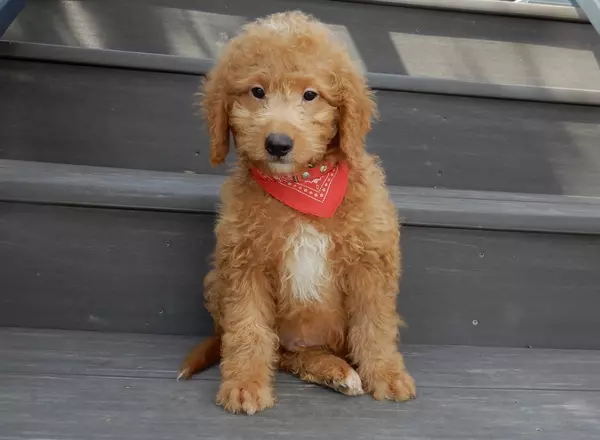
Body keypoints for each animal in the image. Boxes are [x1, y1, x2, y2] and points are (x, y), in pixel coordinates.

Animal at [178, 11, 412, 416]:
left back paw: (337, 370)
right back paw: (331, 370)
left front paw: (386, 374)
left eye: (310, 95)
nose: (277, 144)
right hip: (217, 282)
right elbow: (248, 330)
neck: (302, 184)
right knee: (282, 353)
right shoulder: (243, 265)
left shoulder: (370, 261)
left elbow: (375, 324)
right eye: (257, 91)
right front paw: (245, 385)